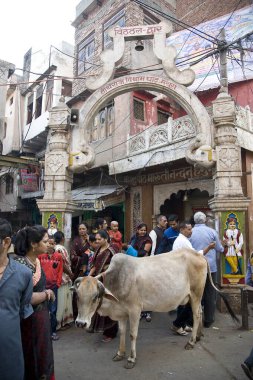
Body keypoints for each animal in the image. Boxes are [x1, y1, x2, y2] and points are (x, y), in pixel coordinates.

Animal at [71, 249, 237, 368]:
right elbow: (123, 332)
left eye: (95, 297)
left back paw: (191, 342)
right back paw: (198, 336)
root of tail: (198, 254)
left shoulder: (135, 310)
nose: (80, 323)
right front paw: (120, 353)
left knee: (196, 314)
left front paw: (131, 359)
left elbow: (132, 335)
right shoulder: (122, 314)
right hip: (193, 296)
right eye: (77, 296)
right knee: (200, 313)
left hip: (196, 293)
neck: (117, 280)